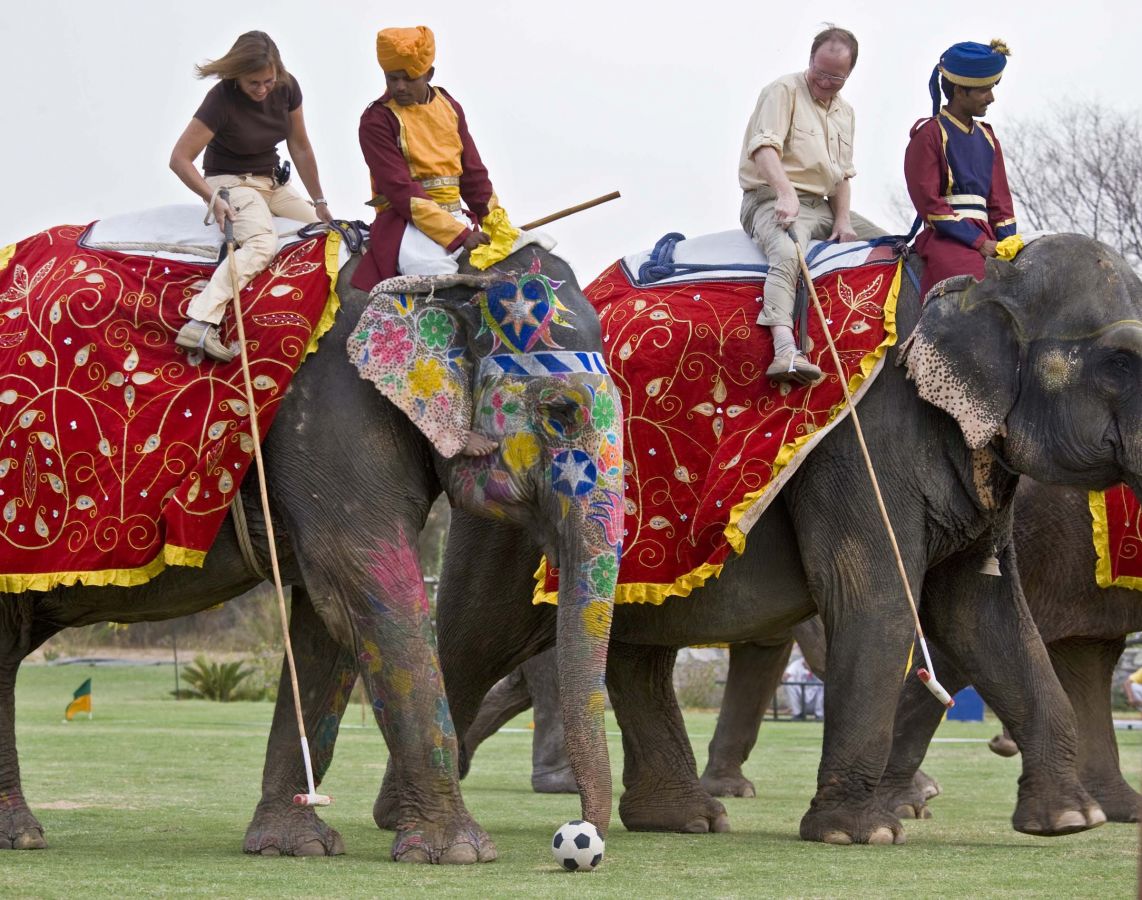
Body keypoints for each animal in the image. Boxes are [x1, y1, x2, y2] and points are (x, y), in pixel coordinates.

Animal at [0, 242, 625, 863]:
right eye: (562, 412)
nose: (580, 837)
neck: (442, 277)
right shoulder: (333, 418)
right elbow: (372, 590)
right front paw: (460, 854)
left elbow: (328, 624)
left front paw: (293, 846)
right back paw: (24, 835)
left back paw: (19, 834)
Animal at [429, 234, 1142, 845]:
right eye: (1122, 360)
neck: (977, 275)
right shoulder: (865, 437)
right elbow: (876, 594)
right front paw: (860, 835)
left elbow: (984, 615)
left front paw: (1068, 823)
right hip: (511, 509)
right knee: (479, 633)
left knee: (637, 646)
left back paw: (683, 820)